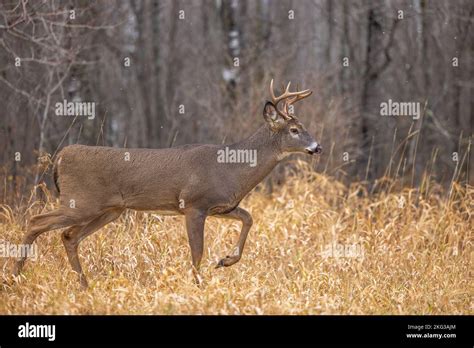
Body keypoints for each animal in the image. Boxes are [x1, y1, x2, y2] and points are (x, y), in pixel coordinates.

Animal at [12, 79, 322, 288]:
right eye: (294, 130)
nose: (317, 147)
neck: (231, 168)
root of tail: (61, 157)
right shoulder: (194, 204)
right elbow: (197, 251)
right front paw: (198, 286)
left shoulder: (221, 206)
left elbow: (249, 218)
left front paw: (226, 260)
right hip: (81, 201)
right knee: (37, 221)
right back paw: (16, 275)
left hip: (109, 210)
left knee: (69, 236)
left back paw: (84, 286)